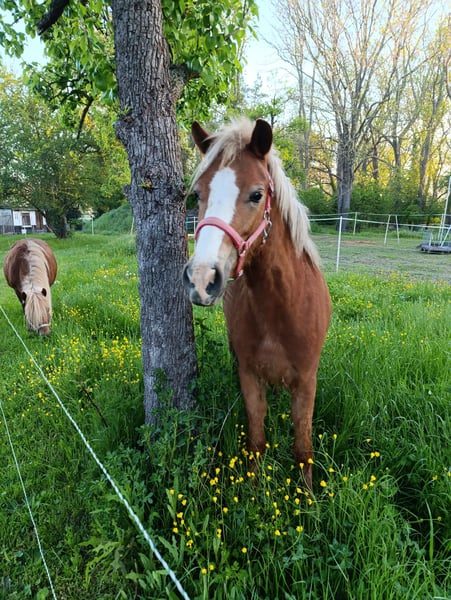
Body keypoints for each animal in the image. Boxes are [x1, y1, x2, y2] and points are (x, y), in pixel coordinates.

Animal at [183, 118, 331, 488]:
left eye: (256, 194)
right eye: (198, 194)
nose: (202, 278)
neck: (282, 307)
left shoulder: (306, 381)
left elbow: (302, 446)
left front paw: (308, 497)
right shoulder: (250, 375)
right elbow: (256, 439)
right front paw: (252, 490)